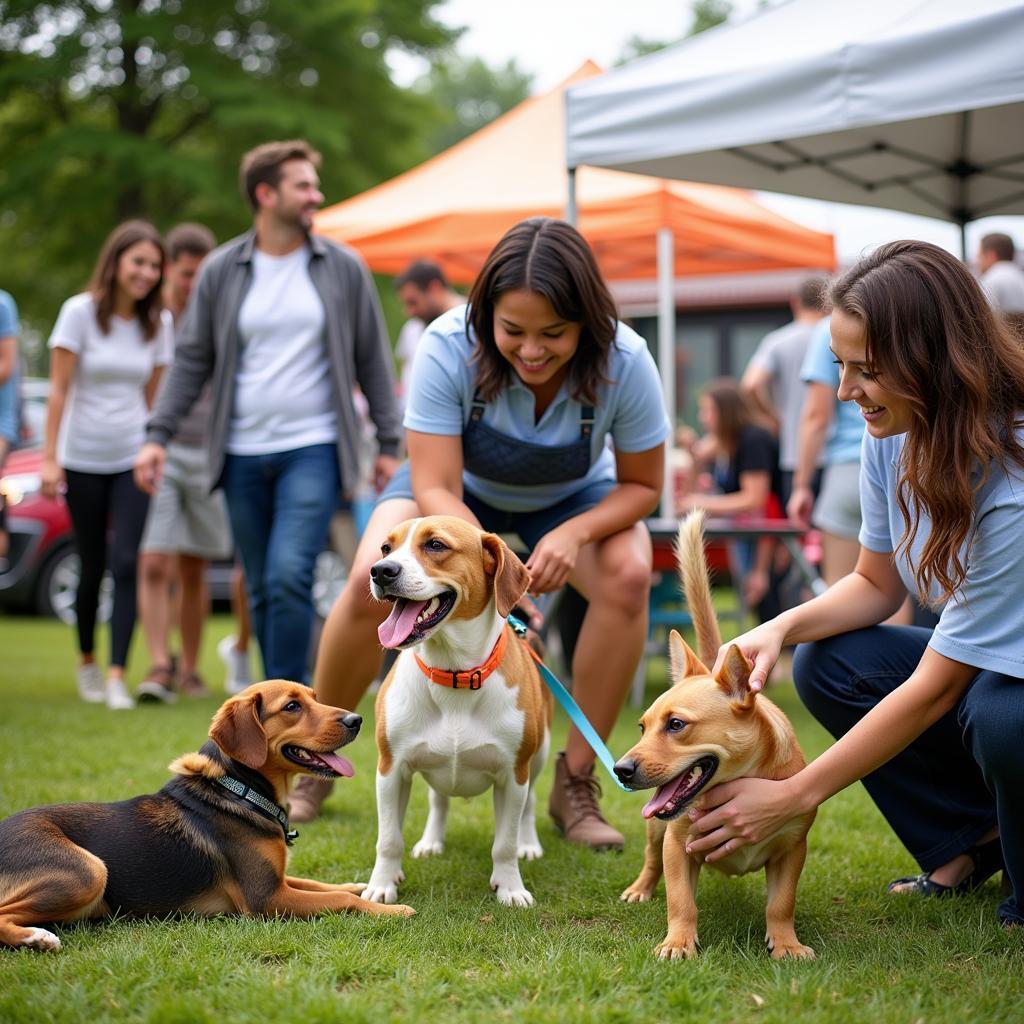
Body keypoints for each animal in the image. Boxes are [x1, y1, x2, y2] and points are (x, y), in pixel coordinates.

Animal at [1, 679, 415, 950]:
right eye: (292, 707)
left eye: (315, 697)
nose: (356, 720)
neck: (240, 788)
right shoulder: (266, 899)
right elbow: (341, 900)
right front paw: (394, 909)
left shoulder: (277, 880)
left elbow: (320, 883)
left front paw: (361, 884)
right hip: (88, 871)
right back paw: (35, 937)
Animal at [362, 516, 548, 909]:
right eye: (386, 547)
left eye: (435, 545)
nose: (381, 570)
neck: (454, 674)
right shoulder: (390, 769)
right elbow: (389, 839)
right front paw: (382, 884)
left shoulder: (513, 775)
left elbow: (504, 844)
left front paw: (510, 886)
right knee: (438, 799)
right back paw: (432, 841)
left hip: (539, 756)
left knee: (530, 804)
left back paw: (529, 843)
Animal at [614, 512, 815, 958]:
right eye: (642, 727)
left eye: (676, 725)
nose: (620, 769)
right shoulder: (676, 845)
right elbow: (680, 900)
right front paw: (678, 942)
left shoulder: (793, 849)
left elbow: (783, 902)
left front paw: (786, 943)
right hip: (655, 832)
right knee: (650, 858)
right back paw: (640, 888)